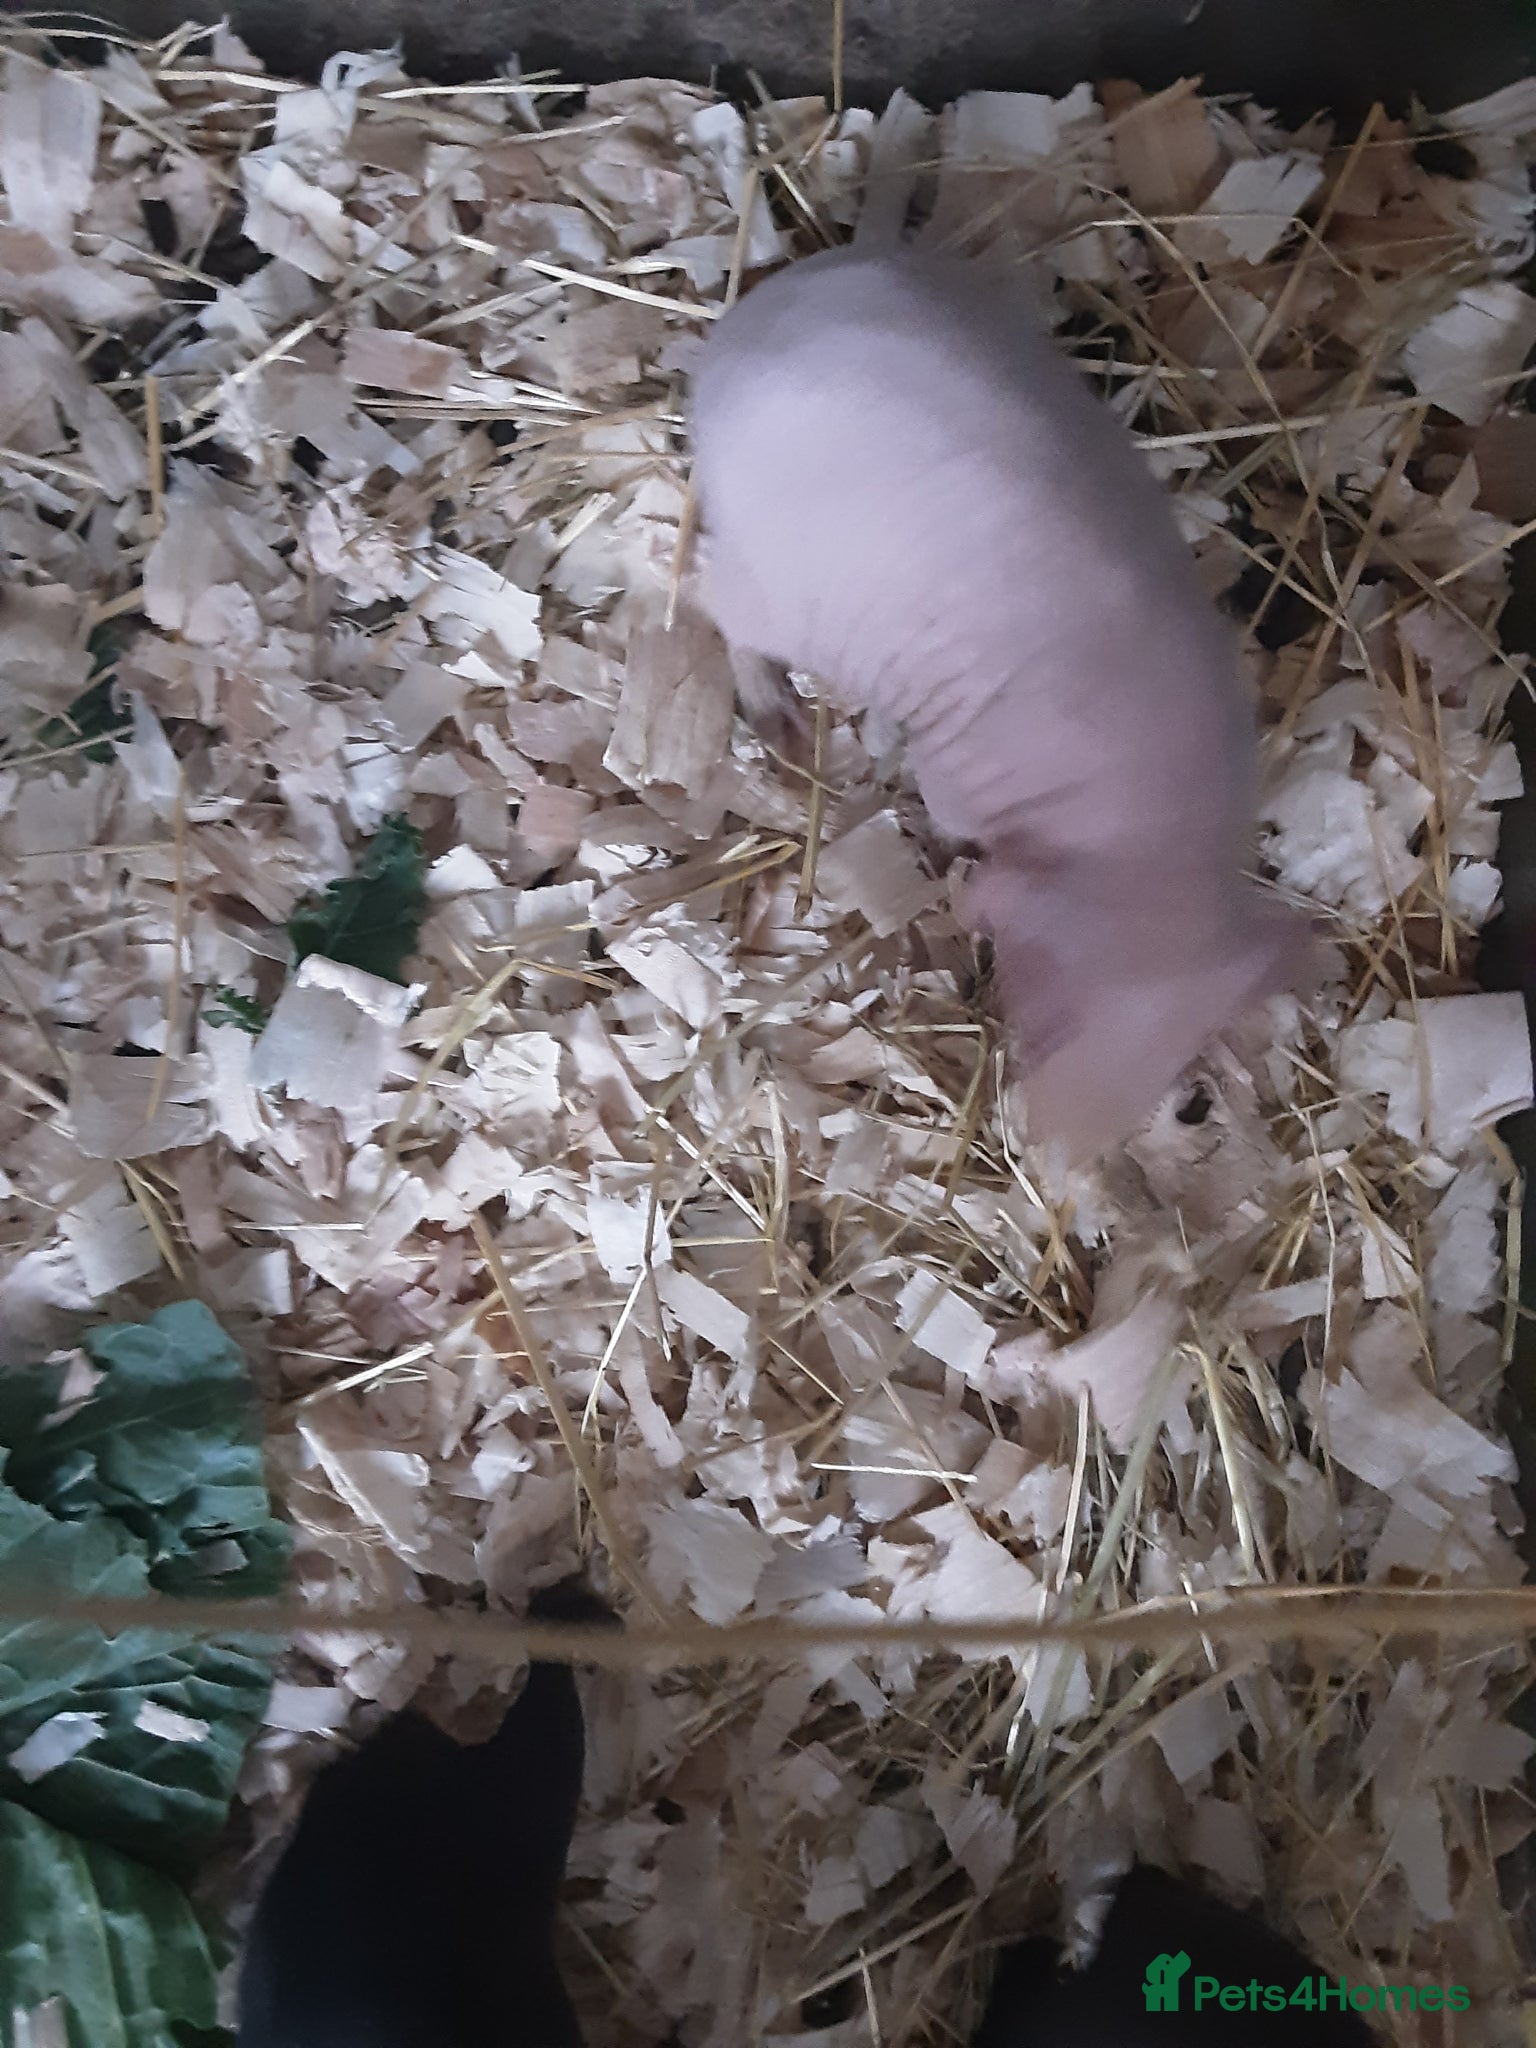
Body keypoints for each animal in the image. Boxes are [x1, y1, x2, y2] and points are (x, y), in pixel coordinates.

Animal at [687, 247, 1307, 1162]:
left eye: (1178, 1079)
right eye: (1054, 1018)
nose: (1057, 1147)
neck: (1152, 847)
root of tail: (728, 354)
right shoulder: (966, 783)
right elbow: (953, 828)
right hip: (772, 580)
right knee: (711, 596)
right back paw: (782, 722)